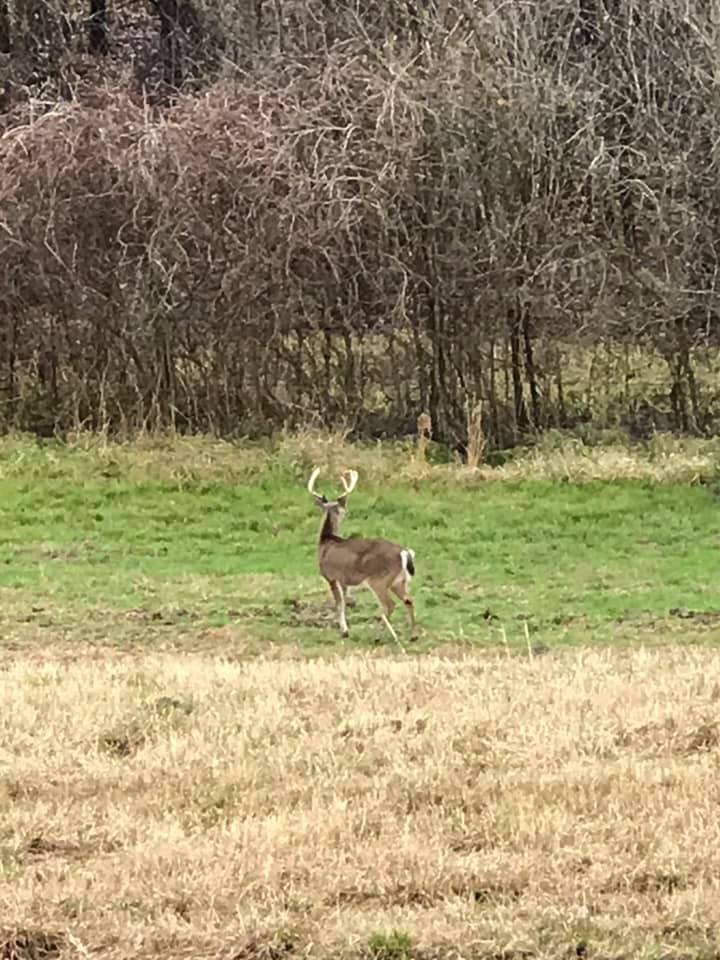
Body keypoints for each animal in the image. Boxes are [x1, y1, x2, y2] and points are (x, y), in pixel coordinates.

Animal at [307, 467, 417, 645]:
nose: (346, 511)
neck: (327, 541)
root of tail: (404, 552)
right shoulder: (344, 580)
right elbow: (344, 603)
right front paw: (344, 629)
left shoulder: (331, 577)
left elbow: (339, 603)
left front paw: (344, 631)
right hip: (399, 581)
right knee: (408, 600)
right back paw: (413, 635)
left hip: (379, 579)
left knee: (390, 605)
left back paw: (377, 636)